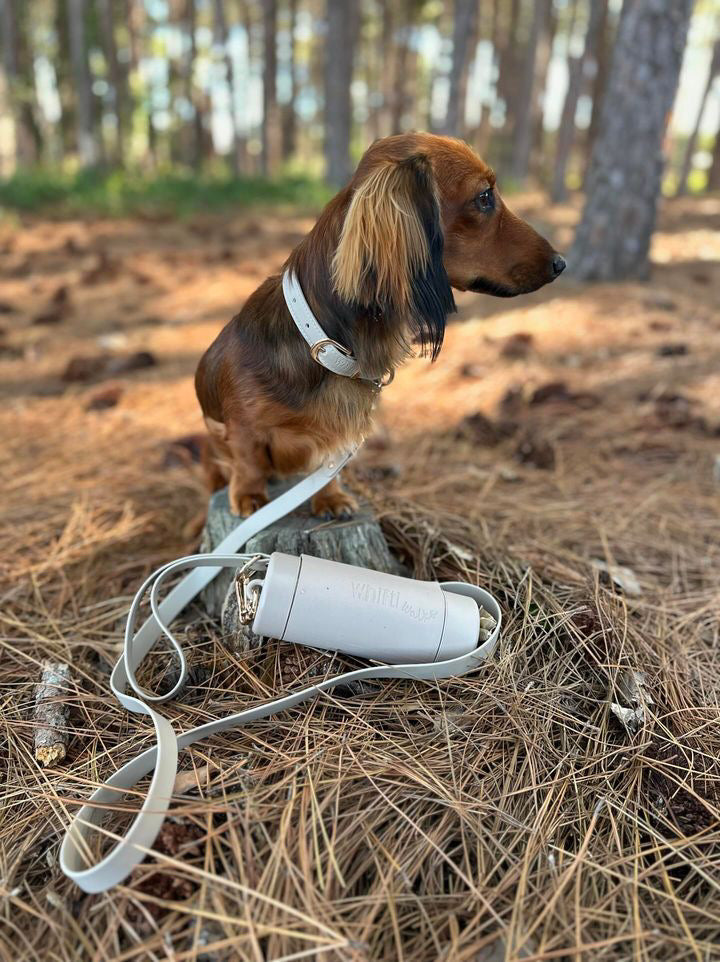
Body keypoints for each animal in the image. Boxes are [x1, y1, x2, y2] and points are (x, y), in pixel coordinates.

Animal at [194, 133, 564, 516]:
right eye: (485, 197)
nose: (560, 263)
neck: (320, 343)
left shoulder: (335, 437)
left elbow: (325, 466)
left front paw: (331, 497)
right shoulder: (237, 427)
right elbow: (248, 459)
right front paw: (249, 495)